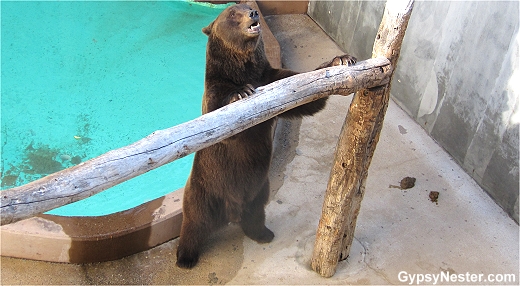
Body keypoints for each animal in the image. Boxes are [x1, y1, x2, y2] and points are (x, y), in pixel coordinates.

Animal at [177, 3, 356, 270]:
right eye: (232, 13)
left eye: (247, 7)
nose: (253, 13)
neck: (244, 68)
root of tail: (231, 212)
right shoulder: (216, 89)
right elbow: (220, 125)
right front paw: (240, 93)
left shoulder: (272, 78)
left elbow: (304, 95)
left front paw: (341, 59)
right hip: (205, 189)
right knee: (194, 222)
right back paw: (185, 258)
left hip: (259, 188)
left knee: (256, 213)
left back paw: (263, 234)